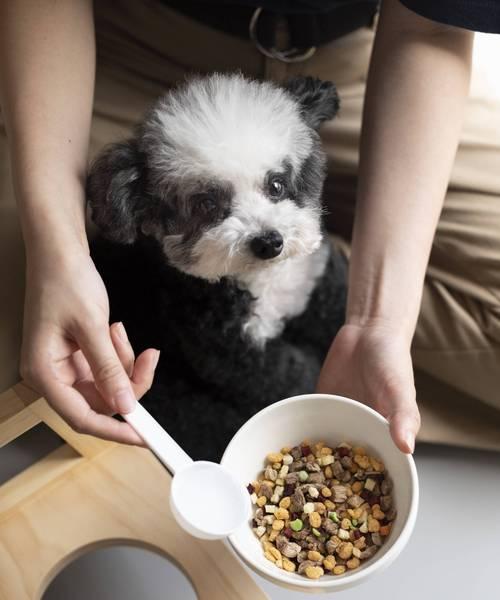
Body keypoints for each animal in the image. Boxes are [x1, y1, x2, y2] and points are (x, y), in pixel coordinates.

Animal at [89, 74, 348, 460]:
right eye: (207, 204)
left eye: (276, 184)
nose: (268, 242)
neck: (266, 283)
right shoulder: (225, 344)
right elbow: (287, 376)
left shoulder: (314, 281)